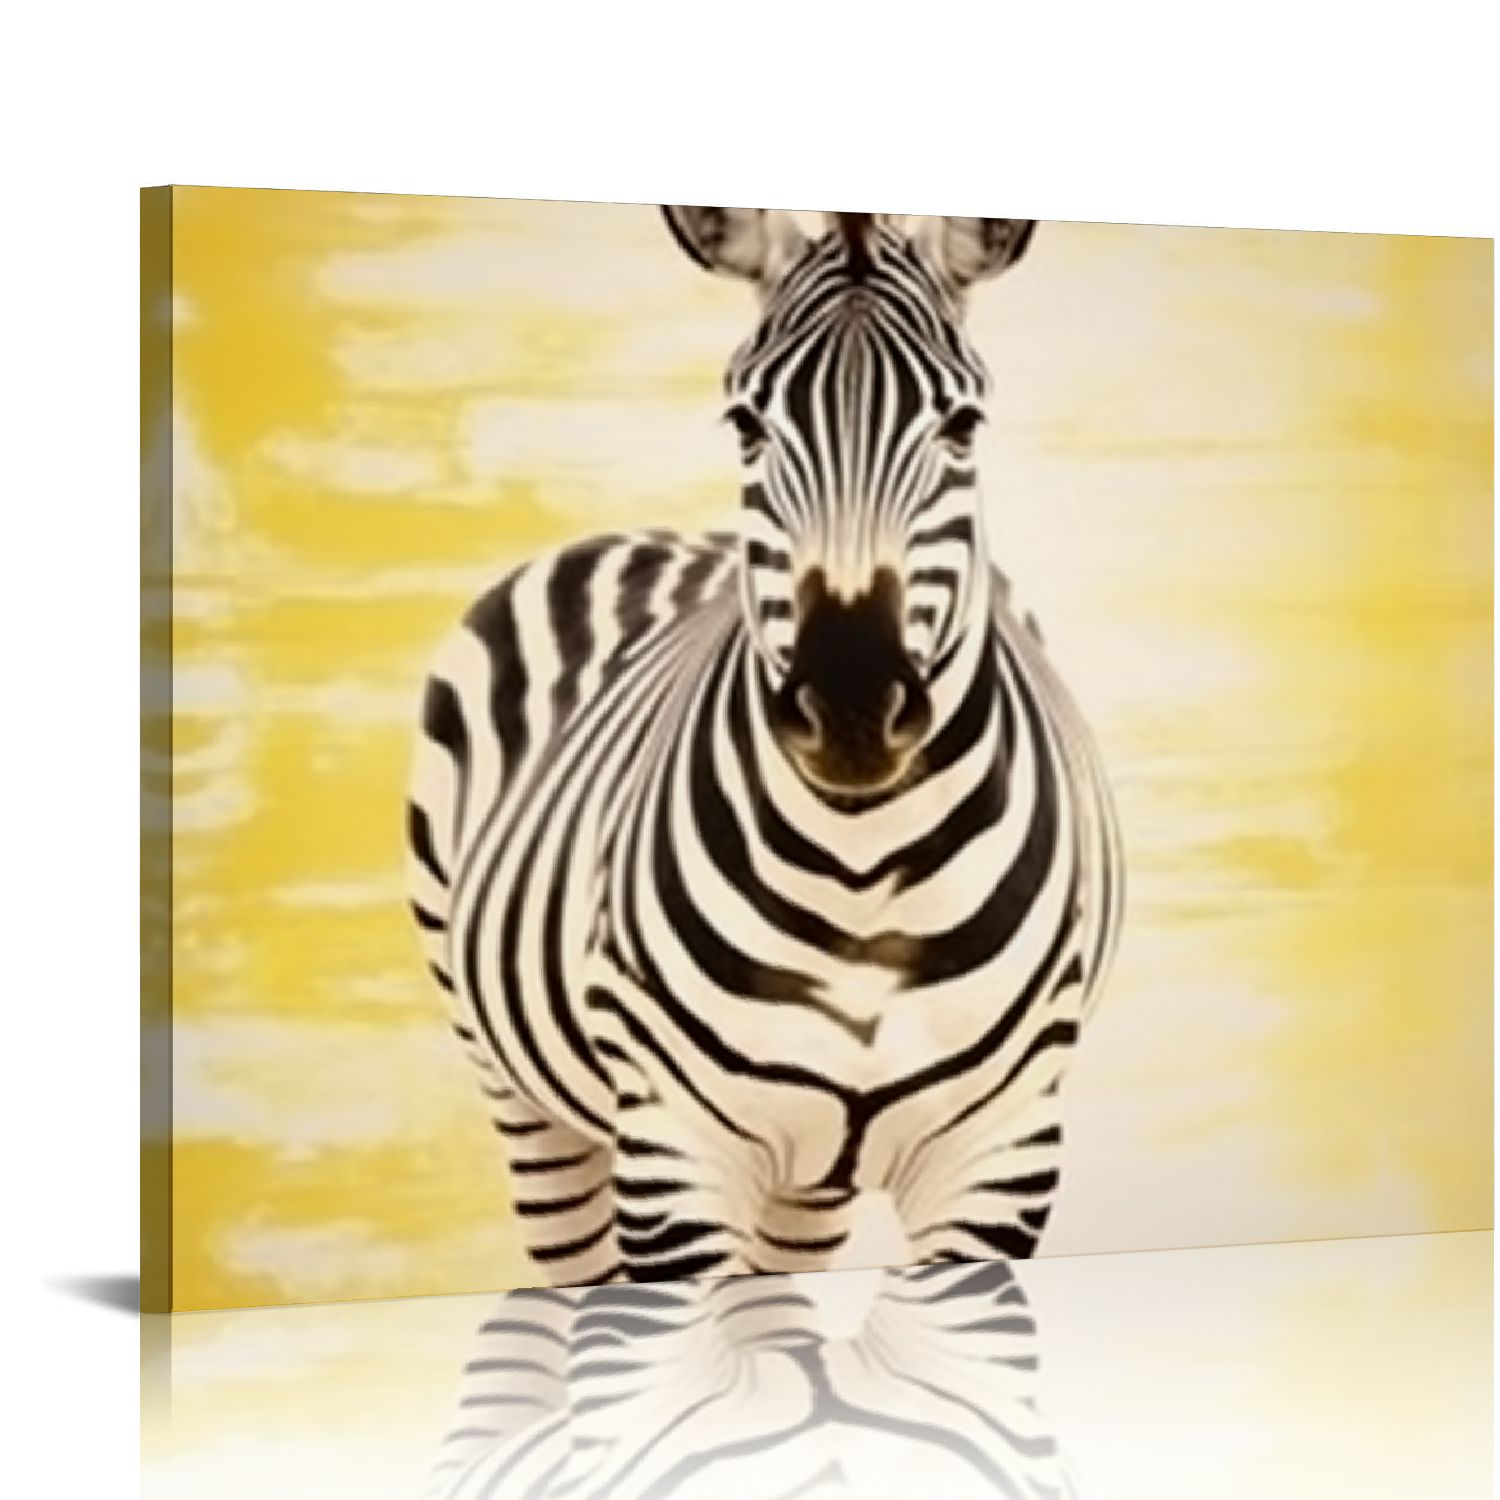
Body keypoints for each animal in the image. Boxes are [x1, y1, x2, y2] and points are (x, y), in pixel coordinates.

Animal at [406, 207, 1123, 1288]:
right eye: (747, 423)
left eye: (961, 426)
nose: (853, 707)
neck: (864, 874)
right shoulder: (672, 1155)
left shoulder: (1003, 1157)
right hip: (518, 1092)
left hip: (808, 1183)